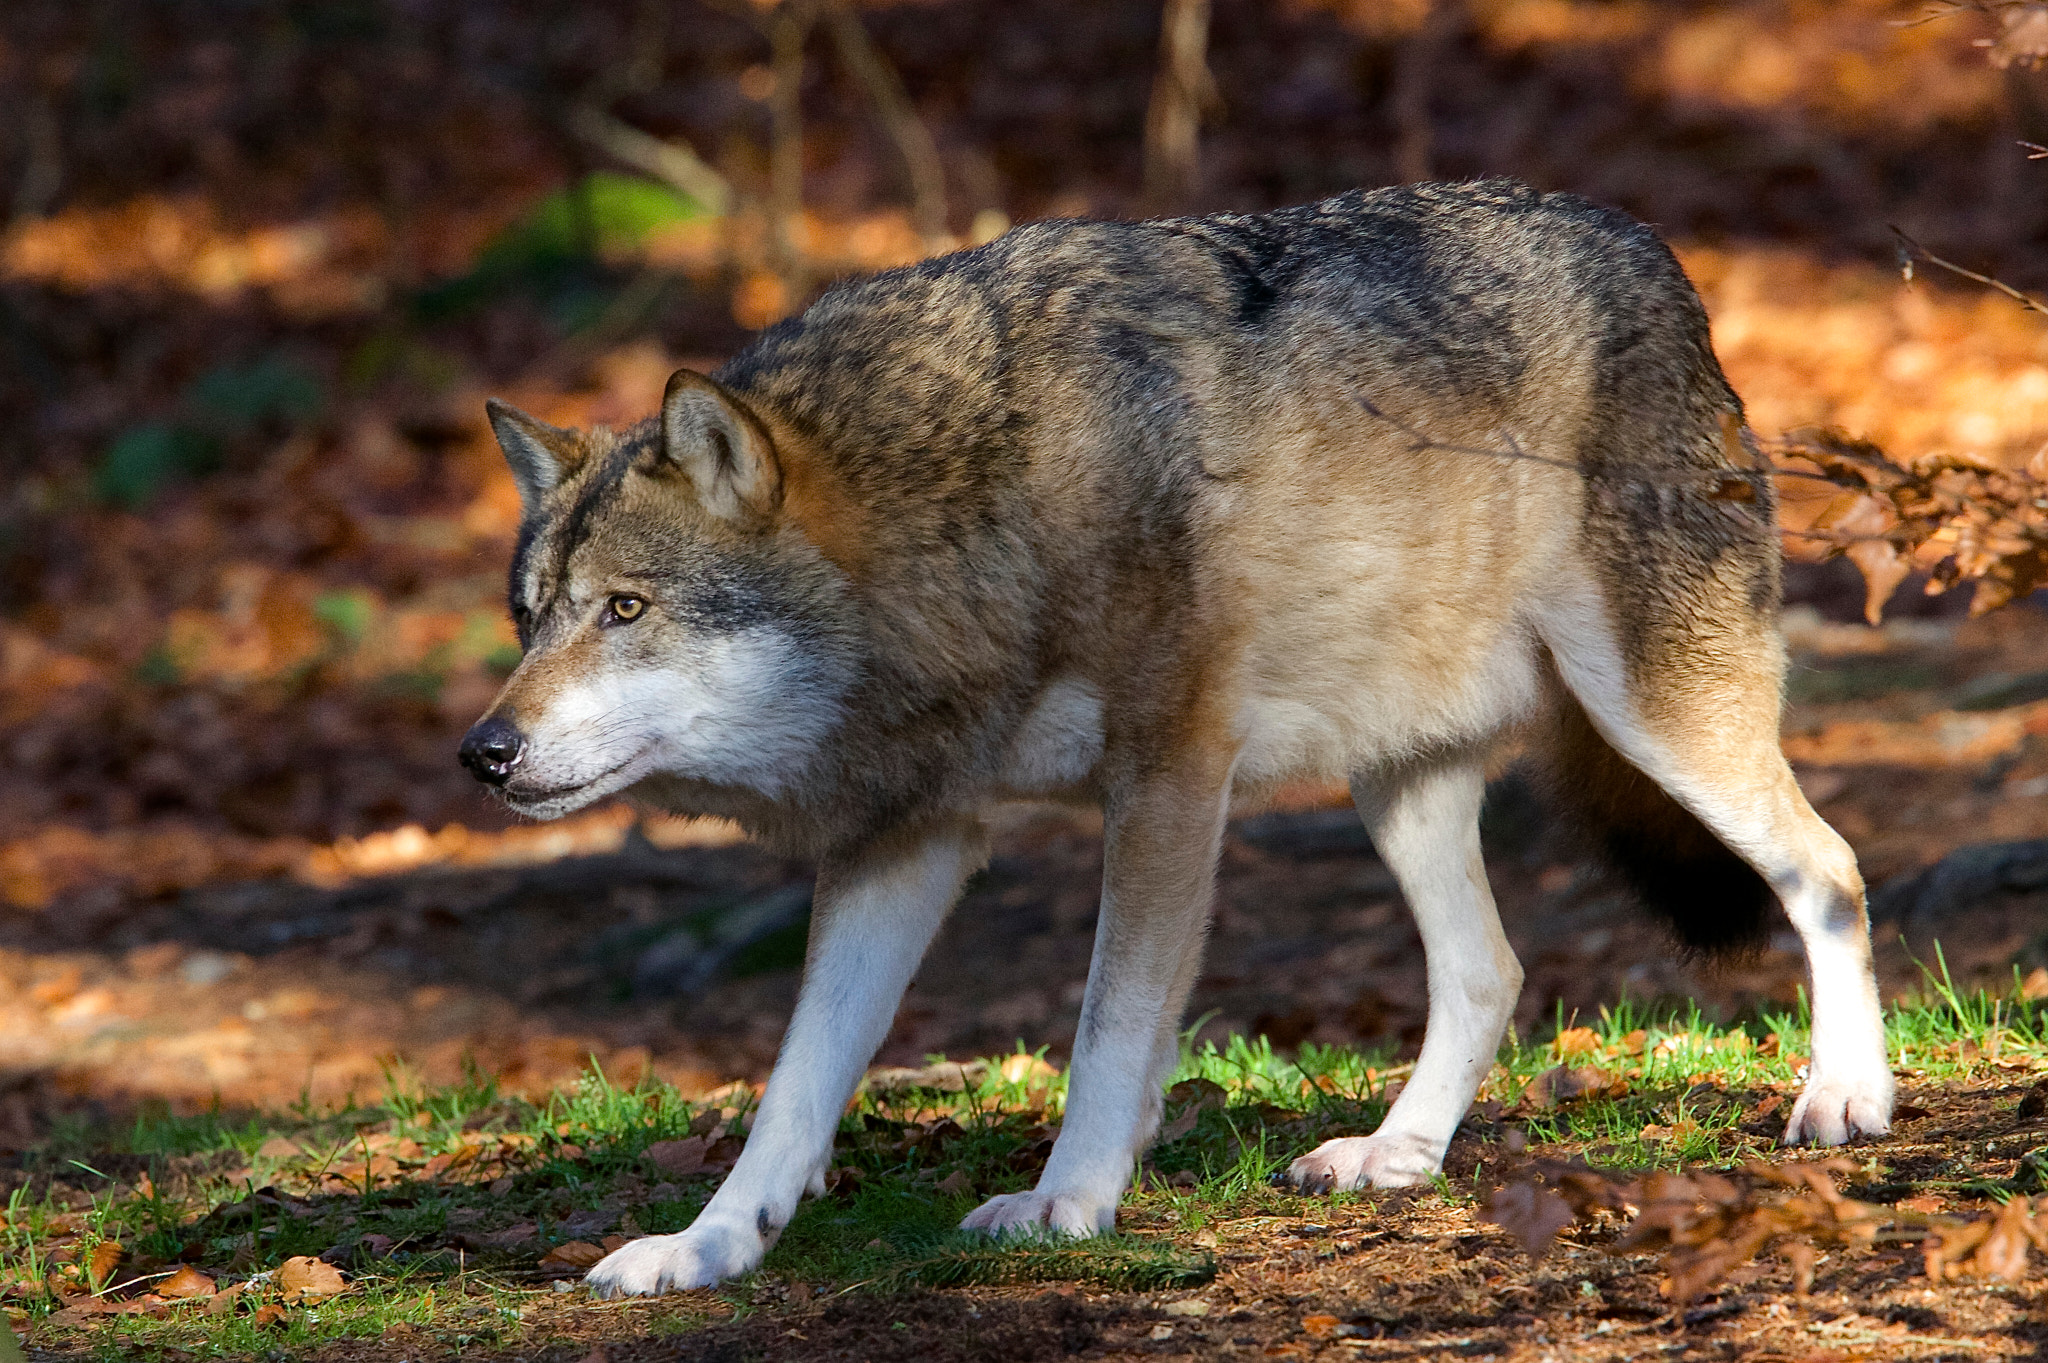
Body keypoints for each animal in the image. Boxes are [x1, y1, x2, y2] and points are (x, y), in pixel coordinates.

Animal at [458, 180, 1893, 1296]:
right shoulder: (905, 838)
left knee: (1828, 865)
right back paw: (1395, 1155)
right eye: (531, 616)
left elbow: (1108, 1022)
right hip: (1398, 784)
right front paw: (707, 1247)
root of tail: (1652, 251)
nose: (482, 751)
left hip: (1661, 718)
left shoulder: (1168, 778)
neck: (972, 505)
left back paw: (1845, 1096)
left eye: (626, 608)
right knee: (1490, 969)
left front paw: (1066, 1201)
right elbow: (793, 1085)